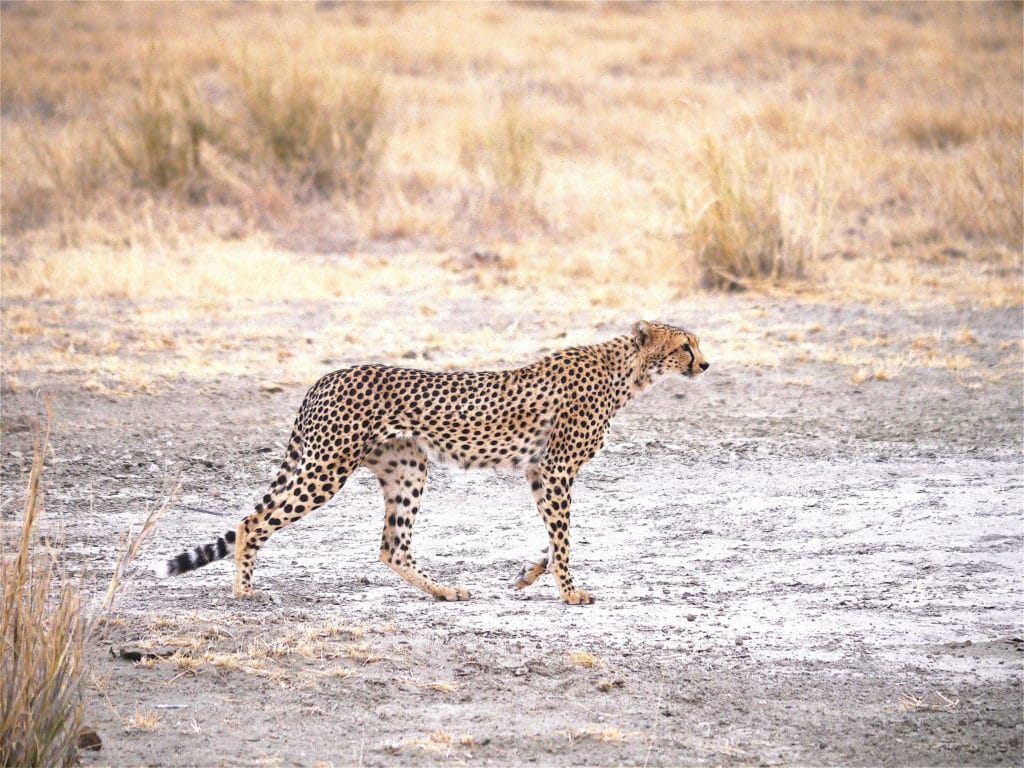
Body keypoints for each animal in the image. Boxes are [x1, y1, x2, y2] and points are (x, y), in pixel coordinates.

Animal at [163, 319, 708, 606]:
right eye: (685, 345)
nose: (705, 364)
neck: (628, 372)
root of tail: (325, 377)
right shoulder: (555, 469)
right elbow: (565, 536)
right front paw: (570, 592)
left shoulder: (540, 471)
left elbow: (556, 537)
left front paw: (530, 574)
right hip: (327, 468)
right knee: (251, 521)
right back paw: (244, 590)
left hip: (406, 468)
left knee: (392, 547)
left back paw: (444, 591)